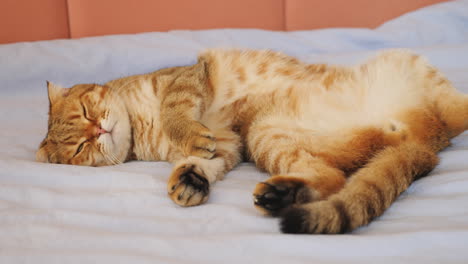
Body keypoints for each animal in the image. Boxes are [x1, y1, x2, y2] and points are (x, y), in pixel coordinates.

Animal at [36, 49, 468, 233]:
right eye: (79, 148)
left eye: (86, 111)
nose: (98, 131)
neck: (141, 124)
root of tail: (424, 142)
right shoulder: (231, 143)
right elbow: (204, 162)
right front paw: (189, 181)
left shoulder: (184, 81)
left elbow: (178, 112)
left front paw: (185, 133)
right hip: (268, 134)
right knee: (332, 175)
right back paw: (281, 194)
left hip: (409, 64)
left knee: (456, 108)